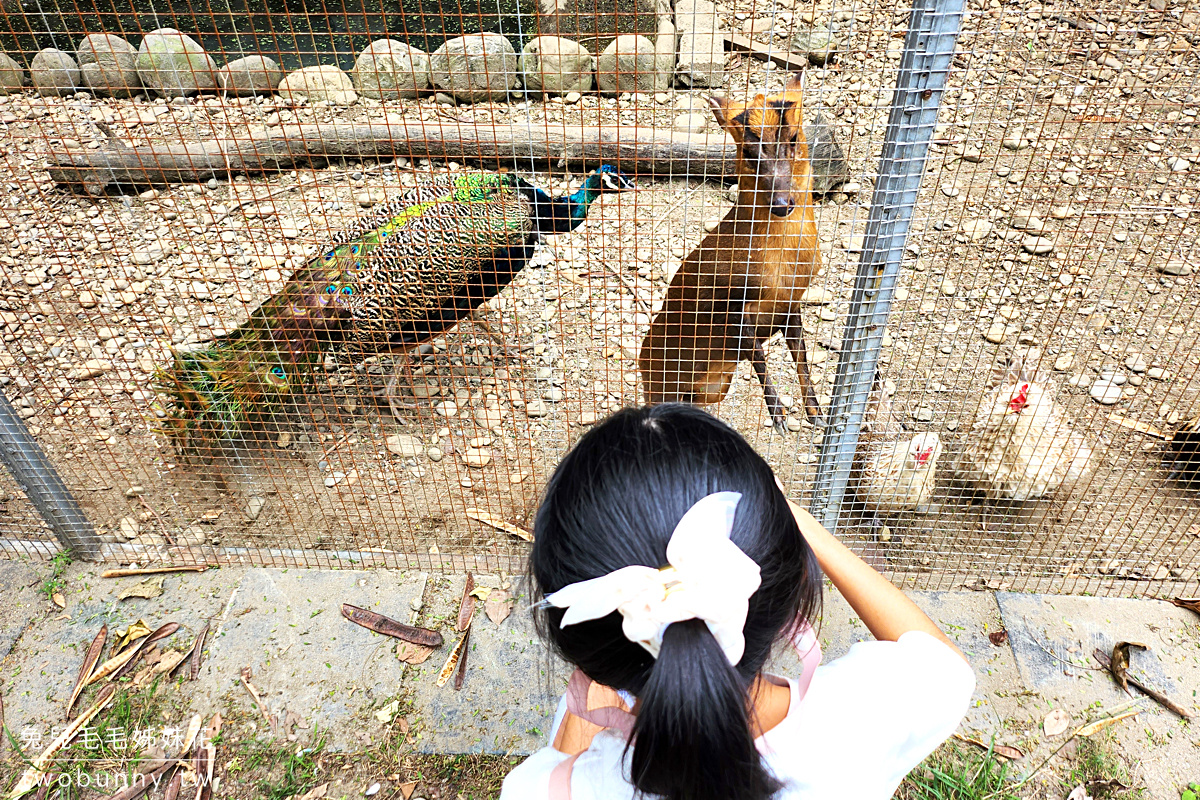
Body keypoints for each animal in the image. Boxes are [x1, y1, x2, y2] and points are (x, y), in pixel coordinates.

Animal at [638, 74, 825, 431]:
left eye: (794, 138)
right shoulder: (732, 305)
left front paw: (817, 413)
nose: (782, 203)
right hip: (656, 380)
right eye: (749, 152)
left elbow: (802, 358)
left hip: (715, 386)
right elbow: (760, 358)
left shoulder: (791, 302)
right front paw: (779, 416)